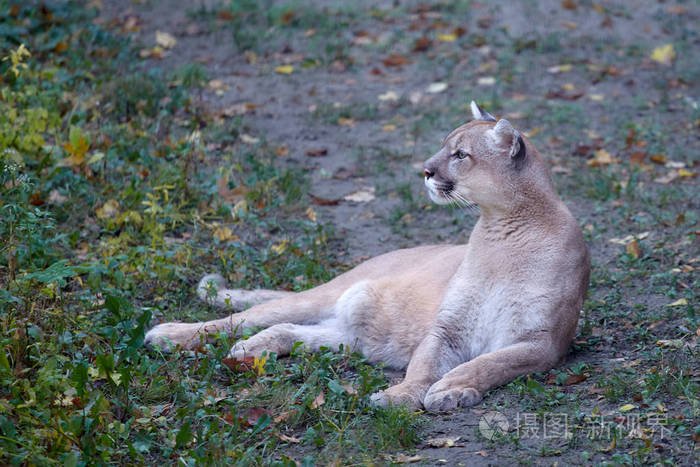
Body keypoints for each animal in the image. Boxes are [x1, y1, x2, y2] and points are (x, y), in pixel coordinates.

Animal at [146, 103, 592, 414]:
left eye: (460, 154)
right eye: (445, 146)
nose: (425, 170)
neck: (503, 229)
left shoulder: (541, 342)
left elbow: (489, 363)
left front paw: (450, 388)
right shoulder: (447, 329)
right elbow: (423, 366)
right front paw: (403, 395)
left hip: (350, 334)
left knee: (289, 329)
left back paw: (251, 349)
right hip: (324, 298)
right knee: (239, 318)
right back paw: (169, 335)